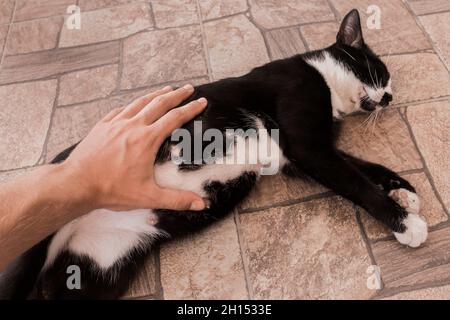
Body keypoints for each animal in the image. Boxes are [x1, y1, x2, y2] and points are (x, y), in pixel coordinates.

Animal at [0, 10, 428, 300]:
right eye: (379, 72)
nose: (390, 98)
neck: (325, 82)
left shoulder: (302, 157)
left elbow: (363, 166)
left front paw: (403, 190)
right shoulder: (307, 145)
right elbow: (356, 182)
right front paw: (405, 223)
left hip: (98, 273)